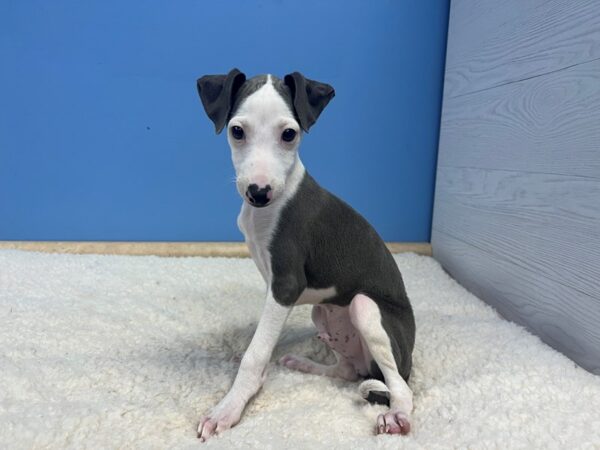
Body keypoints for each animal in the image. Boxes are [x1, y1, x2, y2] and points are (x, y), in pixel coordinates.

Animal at [195, 68, 414, 442]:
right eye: (237, 131)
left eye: (289, 134)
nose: (259, 192)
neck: (267, 211)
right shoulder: (273, 287)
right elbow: (263, 343)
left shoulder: (285, 285)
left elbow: (255, 353)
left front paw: (228, 407)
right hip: (323, 313)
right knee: (347, 371)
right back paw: (305, 364)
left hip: (366, 308)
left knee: (400, 386)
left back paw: (396, 415)